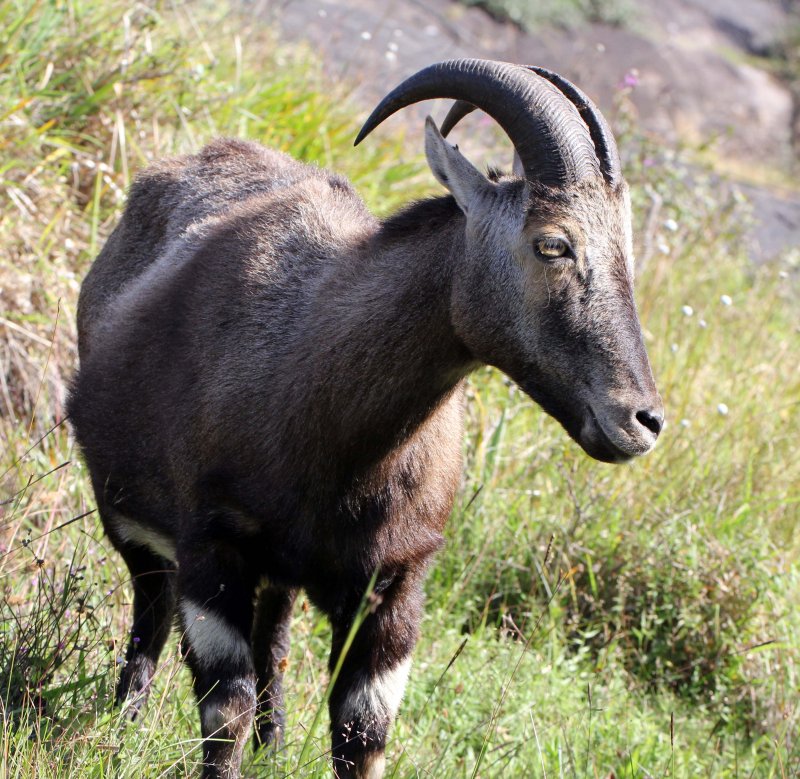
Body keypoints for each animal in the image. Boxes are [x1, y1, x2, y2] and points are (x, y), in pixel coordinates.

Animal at [70, 58, 664, 776]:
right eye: (553, 244)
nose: (642, 419)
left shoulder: (394, 584)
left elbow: (362, 732)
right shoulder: (212, 545)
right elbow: (223, 707)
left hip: (281, 573)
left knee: (274, 641)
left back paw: (274, 743)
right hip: (132, 519)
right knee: (152, 610)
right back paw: (124, 721)